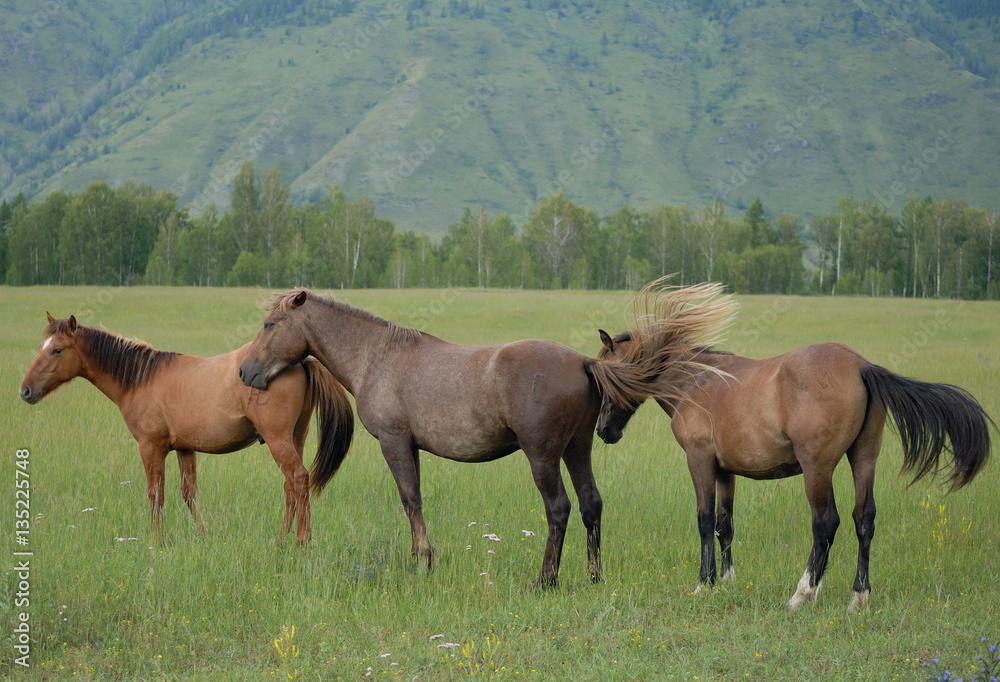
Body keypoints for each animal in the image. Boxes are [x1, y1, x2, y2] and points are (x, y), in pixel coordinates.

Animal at [19, 313, 354, 544]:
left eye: (57, 350)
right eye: (41, 347)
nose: (25, 390)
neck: (141, 379)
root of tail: (300, 361)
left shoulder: (151, 448)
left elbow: (156, 495)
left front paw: (157, 542)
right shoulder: (184, 448)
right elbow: (189, 493)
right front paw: (202, 536)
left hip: (277, 440)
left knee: (298, 479)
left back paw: (301, 542)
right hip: (295, 437)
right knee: (291, 487)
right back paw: (281, 540)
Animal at [236, 289, 729, 587]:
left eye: (269, 325)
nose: (245, 372)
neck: (377, 357)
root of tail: (584, 362)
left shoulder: (395, 443)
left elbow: (410, 500)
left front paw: (423, 560)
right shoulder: (410, 448)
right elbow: (415, 500)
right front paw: (423, 558)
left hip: (543, 456)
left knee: (559, 509)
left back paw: (546, 580)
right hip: (577, 450)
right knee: (591, 504)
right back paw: (593, 577)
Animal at [594, 283, 993, 611]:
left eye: (605, 375)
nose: (602, 430)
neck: (696, 381)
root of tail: (862, 367)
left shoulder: (700, 461)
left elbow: (705, 521)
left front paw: (704, 585)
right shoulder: (726, 471)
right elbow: (726, 525)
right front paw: (726, 581)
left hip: (817, 468)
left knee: (825, 523)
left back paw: (803, 593)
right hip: (864, 458)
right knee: (863, 519)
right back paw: (859, 596)